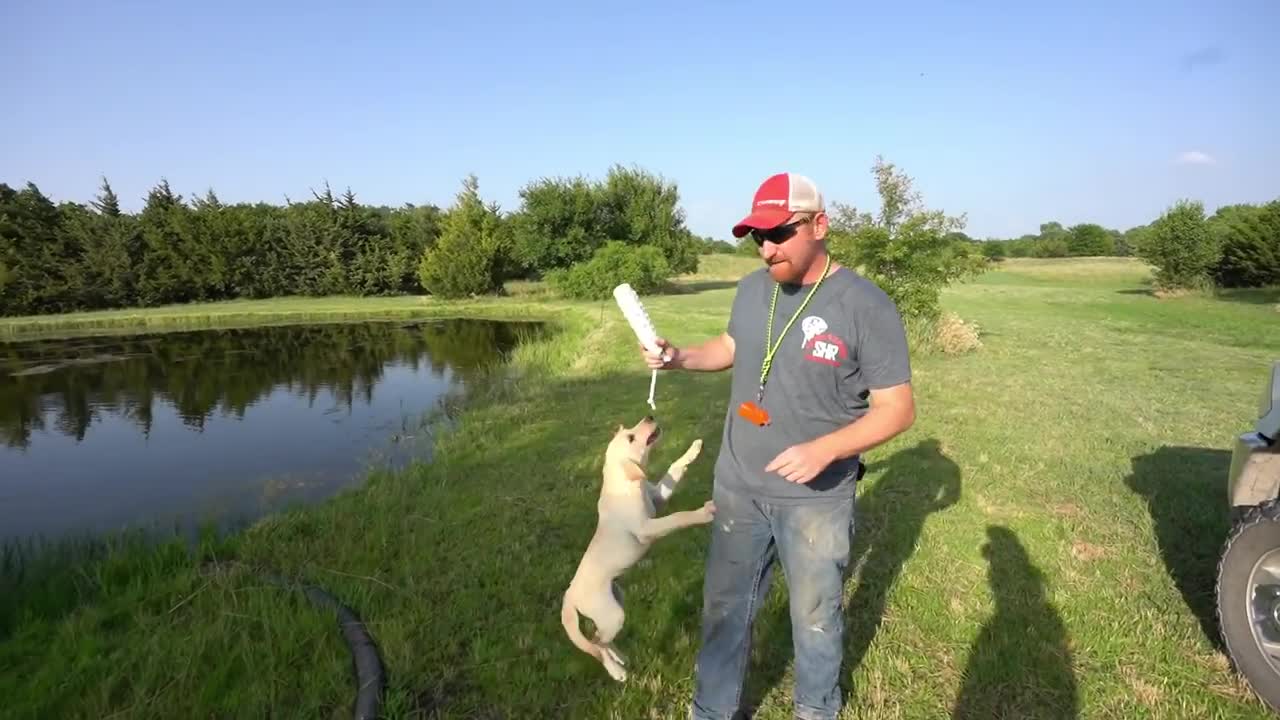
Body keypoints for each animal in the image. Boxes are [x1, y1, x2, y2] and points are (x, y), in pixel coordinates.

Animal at [563, 415, 716, 676]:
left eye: (629, 430)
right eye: (631, 437)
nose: (649, 416)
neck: (626, 485)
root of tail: (570, 594)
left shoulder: (658, 497)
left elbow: (674, 468)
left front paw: (693, 450)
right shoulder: (647, 528)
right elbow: (678, 518)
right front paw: (702, 513)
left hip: (618, 599)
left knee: (599, 638)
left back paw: (620, 658)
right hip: (613, 614)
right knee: (596, 643)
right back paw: (616, 671)